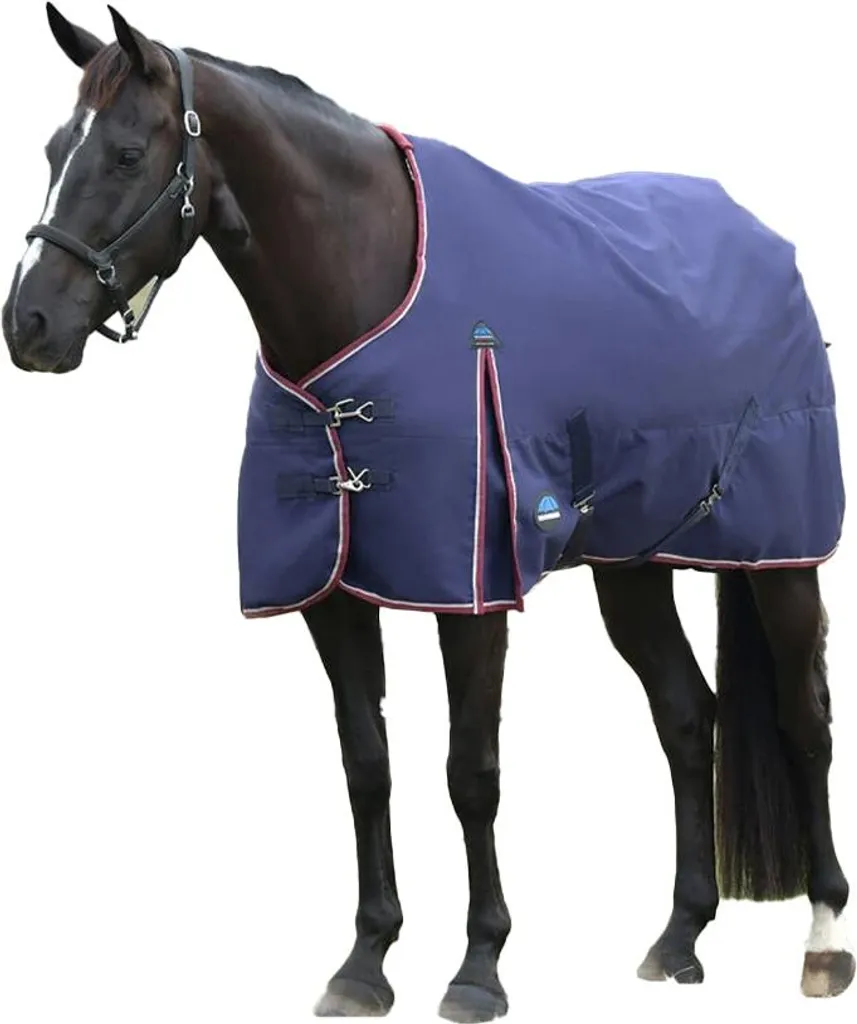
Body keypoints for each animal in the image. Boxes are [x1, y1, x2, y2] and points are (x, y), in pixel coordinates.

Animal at [2, 5, 853, 1020]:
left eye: (128, 153)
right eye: (54, 149)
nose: (28, 326)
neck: (363, 303)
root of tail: (763, 240)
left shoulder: (471, 593)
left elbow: (469, 772)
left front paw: (478, 966)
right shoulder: (331, 595)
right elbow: (366, 765)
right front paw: (364, 961)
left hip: (780, 559)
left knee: (804, 721)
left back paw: (822, 943)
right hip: (632, 567)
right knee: (687, 716)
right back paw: (677, 938)